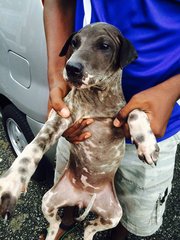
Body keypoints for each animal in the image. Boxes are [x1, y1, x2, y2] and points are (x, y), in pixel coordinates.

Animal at [0, 23, 159, 240]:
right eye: (74, 43)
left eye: (105, 45)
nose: (72, 68)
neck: (96, 98)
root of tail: (83, 198)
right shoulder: (61, 117)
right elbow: (33, 147)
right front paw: (12, 182)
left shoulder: (120, 118)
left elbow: (136, 111)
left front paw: (147, 144)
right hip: (48, 200)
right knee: (55, 223)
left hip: (114, 215)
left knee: (89, 226)